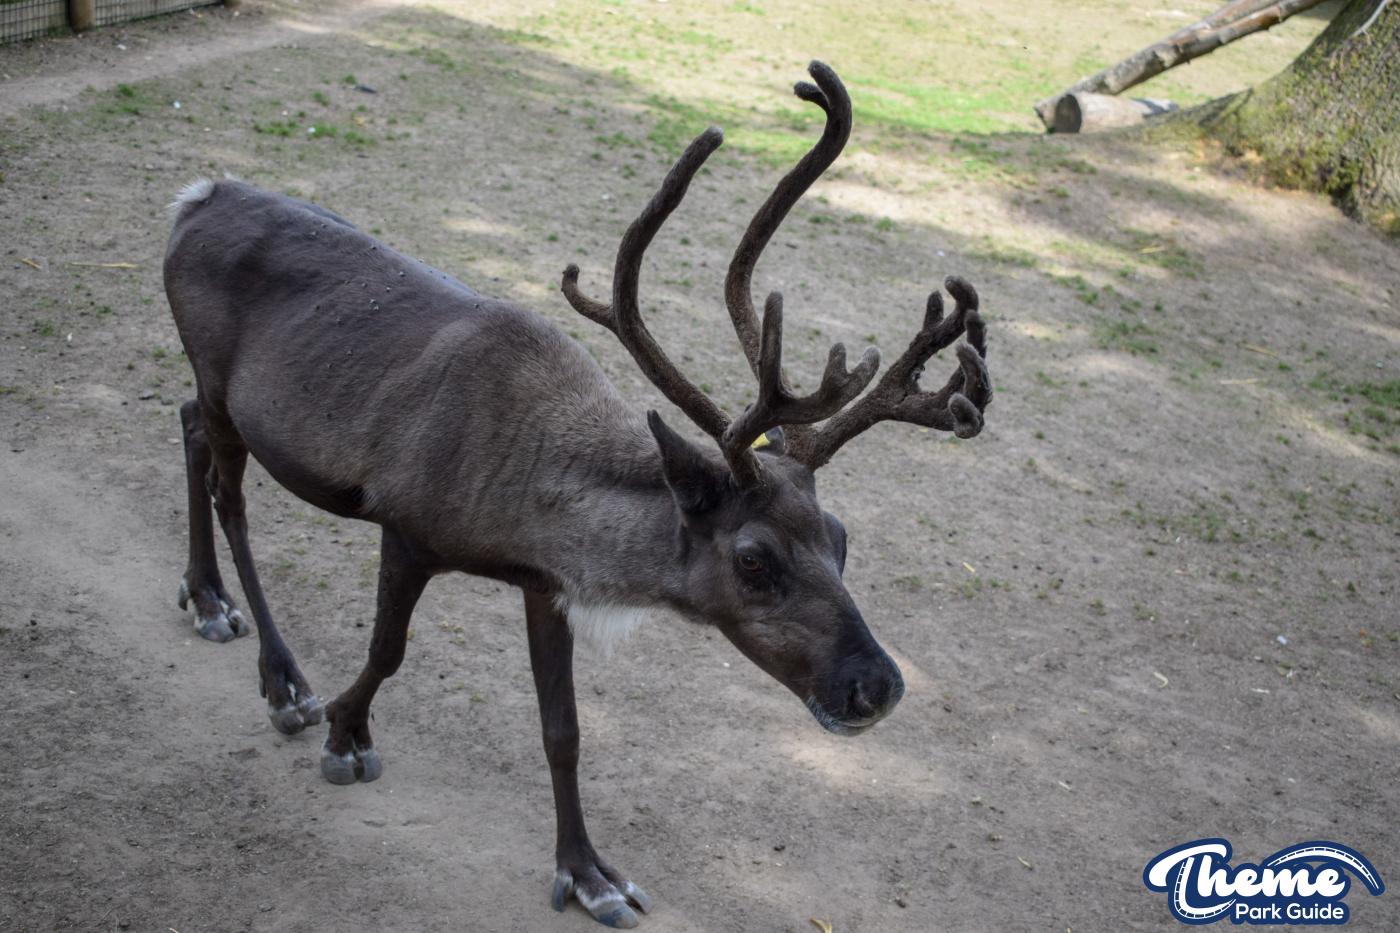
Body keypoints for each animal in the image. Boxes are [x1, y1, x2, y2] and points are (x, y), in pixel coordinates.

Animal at [164, 62, 991, 929]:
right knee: (228, 496)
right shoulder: (410, 530)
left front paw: (590, 874)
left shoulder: (545, 584)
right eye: (753, 558)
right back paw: (280, 675)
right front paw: (344, 733)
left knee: (185, 425)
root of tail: (197, 196)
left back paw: (206, 596)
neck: (534, 483)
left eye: (841, 536)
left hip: (215, 396)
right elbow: (387, 650)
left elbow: (564, 729)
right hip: (224, 388)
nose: (878, 686)